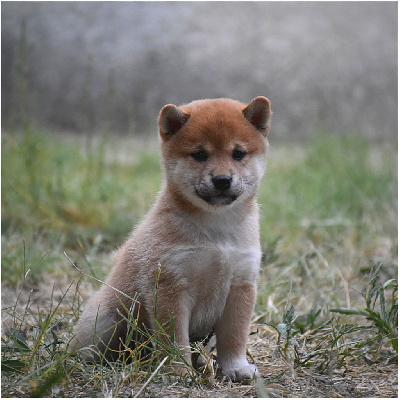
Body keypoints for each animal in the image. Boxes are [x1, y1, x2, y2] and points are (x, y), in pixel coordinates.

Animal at [72, 96, 272, 382]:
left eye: (238, 154)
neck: (217, 230)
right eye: (199, 154)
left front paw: (236, 367)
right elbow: (174, 338)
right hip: (106, 322)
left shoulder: (241, 285)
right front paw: (178, 369)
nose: (222, 180)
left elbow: (235, 336)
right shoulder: (170, 286)